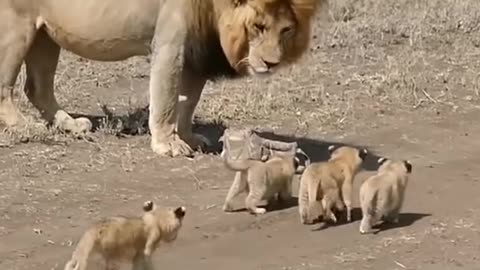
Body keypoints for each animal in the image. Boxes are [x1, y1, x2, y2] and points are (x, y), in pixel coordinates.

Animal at [0, 0, 326, 157]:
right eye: (258, 26)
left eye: (286, 29)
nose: (272, 63)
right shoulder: (171, 44)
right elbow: (167, 97)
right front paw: (167, 145)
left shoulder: (195, 51)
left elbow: (187, 101)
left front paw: (187, 137)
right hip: (16, 26)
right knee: (5, 87)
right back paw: (23, 126)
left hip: (45, 34)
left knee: (37, 87)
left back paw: (69, 125)